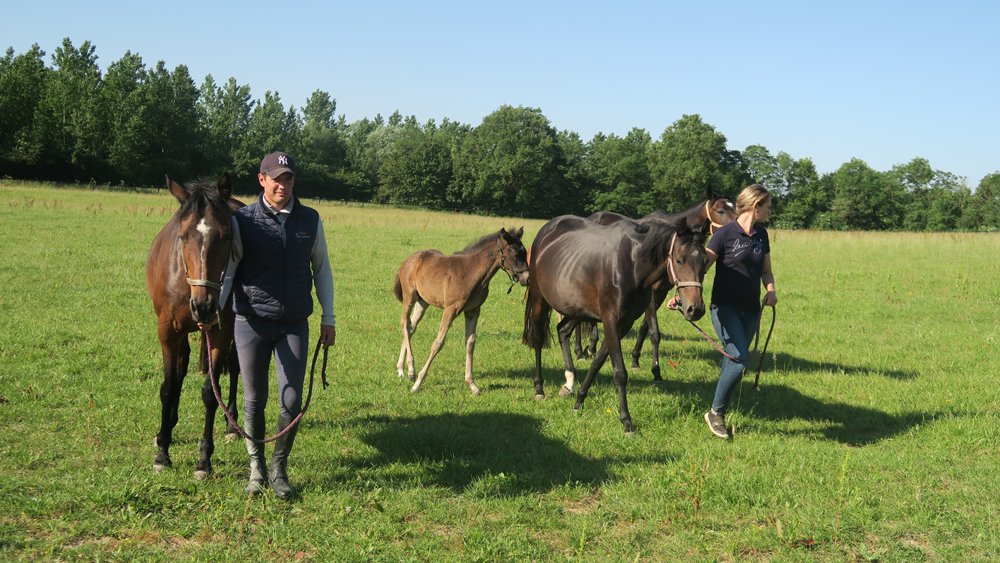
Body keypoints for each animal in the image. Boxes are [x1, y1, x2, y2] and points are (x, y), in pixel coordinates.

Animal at [145, 173, 243, 478]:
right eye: (183, 236)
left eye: (225, 237)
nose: (204, 306)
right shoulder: (167, 330)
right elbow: (169, 386)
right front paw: (162, 451)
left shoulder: (220, 332)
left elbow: (210, 393)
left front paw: (204, 461)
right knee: (180, 369)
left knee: (235, 367)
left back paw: (232, 425)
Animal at [394, 227, 530, 395]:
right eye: (515, 254)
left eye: (524, 252)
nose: (527, 278)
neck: (471, 273)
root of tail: (409, 260)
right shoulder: (451, 309)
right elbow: (438, 343)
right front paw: (418, 383)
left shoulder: (473, 311)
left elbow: (470, 343)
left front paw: (472, 385)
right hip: (410, 296)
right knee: (404, 323)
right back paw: (410, 370)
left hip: (423, 302)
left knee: (411, 327)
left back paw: (403, 369)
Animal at [523, 215, 708, 433]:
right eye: (679, 260)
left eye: (705, 262)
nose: (695, 309)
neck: (632, 264)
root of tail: (546, 232)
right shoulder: (610, 320)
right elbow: (619, 372)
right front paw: (626, 421)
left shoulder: (624, 323)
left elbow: (597, 361)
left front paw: (579, 401)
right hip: (539, 300)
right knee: (538, 338)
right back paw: (539, 388)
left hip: (576, 308)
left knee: (563, 331)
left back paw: (569, 383)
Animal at [574, 190, 735, 380]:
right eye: (720, 210)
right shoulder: (650, 294)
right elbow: (654, 333)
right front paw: (655, 369)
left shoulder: (659, 294)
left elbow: (645, 328)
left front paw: (636, 360)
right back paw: (580, 351)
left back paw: (590, 347)